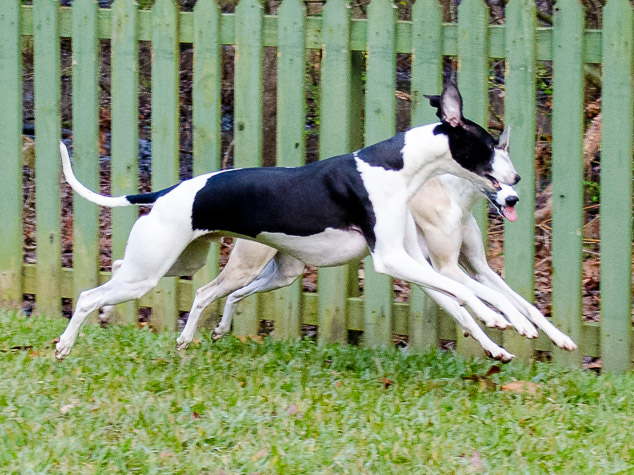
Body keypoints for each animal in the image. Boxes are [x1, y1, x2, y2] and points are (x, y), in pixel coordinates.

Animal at [58, 84, 524, 360]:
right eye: (489, 146)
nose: (517, 182)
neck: (393, 166)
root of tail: (162, 192)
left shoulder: (413, 260)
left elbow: (465, 294)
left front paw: (509, 323)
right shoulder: (392, 259)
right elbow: (464, 291)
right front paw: (502, 319)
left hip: (179, 262)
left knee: (134, 274)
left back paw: (168, 332)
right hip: (154, 268)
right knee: (86, 296)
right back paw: (65, 343)